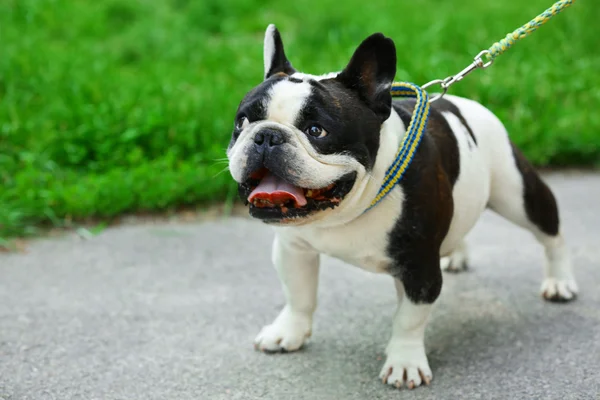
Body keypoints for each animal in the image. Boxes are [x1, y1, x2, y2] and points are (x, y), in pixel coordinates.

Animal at [225, 24, 576, 388]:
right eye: (242, 122)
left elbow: (408, 319)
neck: (348, 209)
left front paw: (404, 362)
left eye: (316, 130)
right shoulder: (294, 249)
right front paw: (288, 332)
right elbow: (298, 295)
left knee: (552, 234)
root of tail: (459, 100)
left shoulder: (419, 269)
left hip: (517, 192)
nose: (267, 136)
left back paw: (560, 282)